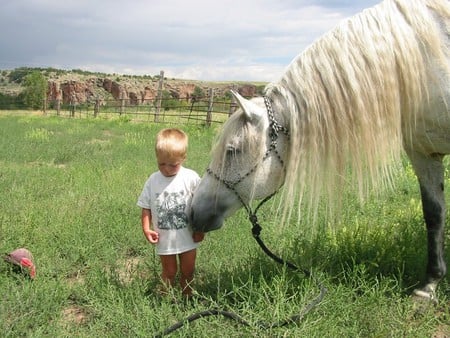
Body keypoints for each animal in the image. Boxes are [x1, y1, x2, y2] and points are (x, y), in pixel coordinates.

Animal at [189, 0, 450, 302]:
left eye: (232, 150)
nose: (192, 212)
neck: (427, 61)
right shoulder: (423, 154)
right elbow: (433, 214)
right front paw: (429, 285)